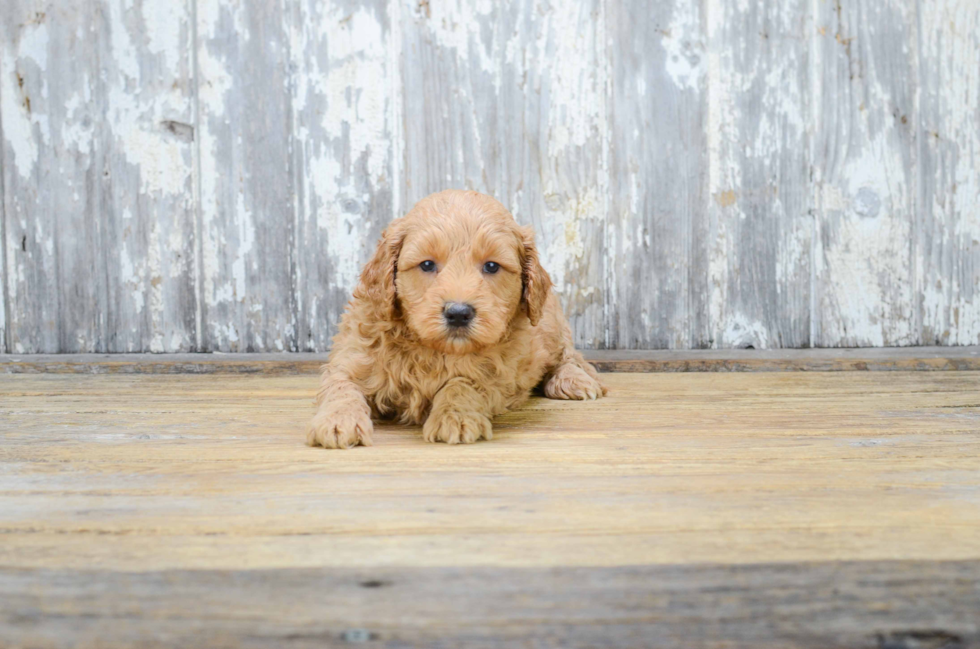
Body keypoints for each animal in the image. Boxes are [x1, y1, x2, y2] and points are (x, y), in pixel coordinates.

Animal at [310, 190, 608, 448]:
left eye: (491, 266)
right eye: (427, 264)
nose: (458, 313)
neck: (434, 349)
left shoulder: (496, 372)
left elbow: (462, 384)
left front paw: (455, 417)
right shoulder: (352, 356)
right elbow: (341, 387)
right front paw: (338, 420)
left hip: (550, 322)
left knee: (569, 356)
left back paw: (574, 381)